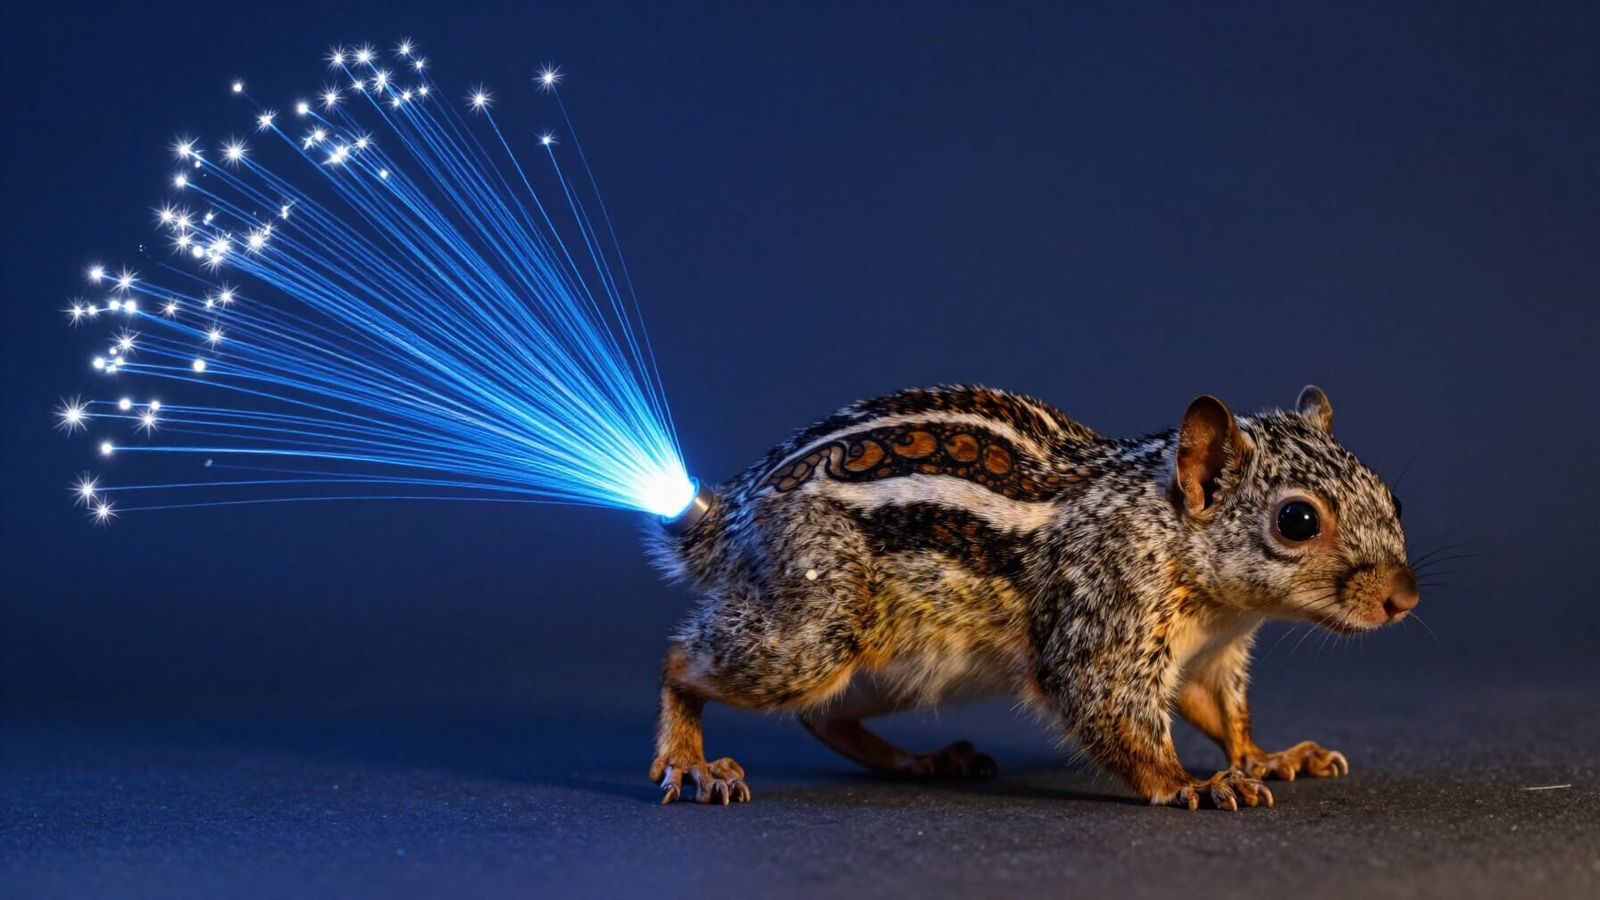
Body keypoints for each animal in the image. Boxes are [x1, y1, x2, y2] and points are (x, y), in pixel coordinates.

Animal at [645, 384, 1417, 810]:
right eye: (1298, 520)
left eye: (1394, 496)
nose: (1403, 599)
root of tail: (729, 516)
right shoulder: (1102, 615)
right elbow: (1111, 712)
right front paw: (1189, 783)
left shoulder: (1208, 657)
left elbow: (1221, 712)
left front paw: (1269, 756)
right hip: (812, 627)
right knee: (684, 660)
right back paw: (691, 760)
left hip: (891, 671)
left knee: (824, 716)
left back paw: (924, 762)